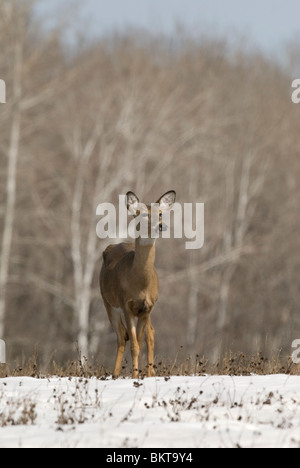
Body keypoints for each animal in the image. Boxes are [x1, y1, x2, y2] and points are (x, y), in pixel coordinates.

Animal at [100, 192, 176, 378]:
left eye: (160, 214)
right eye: (143, 214)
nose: (161, 226)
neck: (139, 283)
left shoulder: (148, 307)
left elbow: (141, 342)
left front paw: (144, 375)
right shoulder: (126, 304)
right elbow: (134, 345)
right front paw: (135, 377)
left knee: (150, 333)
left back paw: (149, 372)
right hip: (108, 303)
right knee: (121, 337)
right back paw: (115, 375)